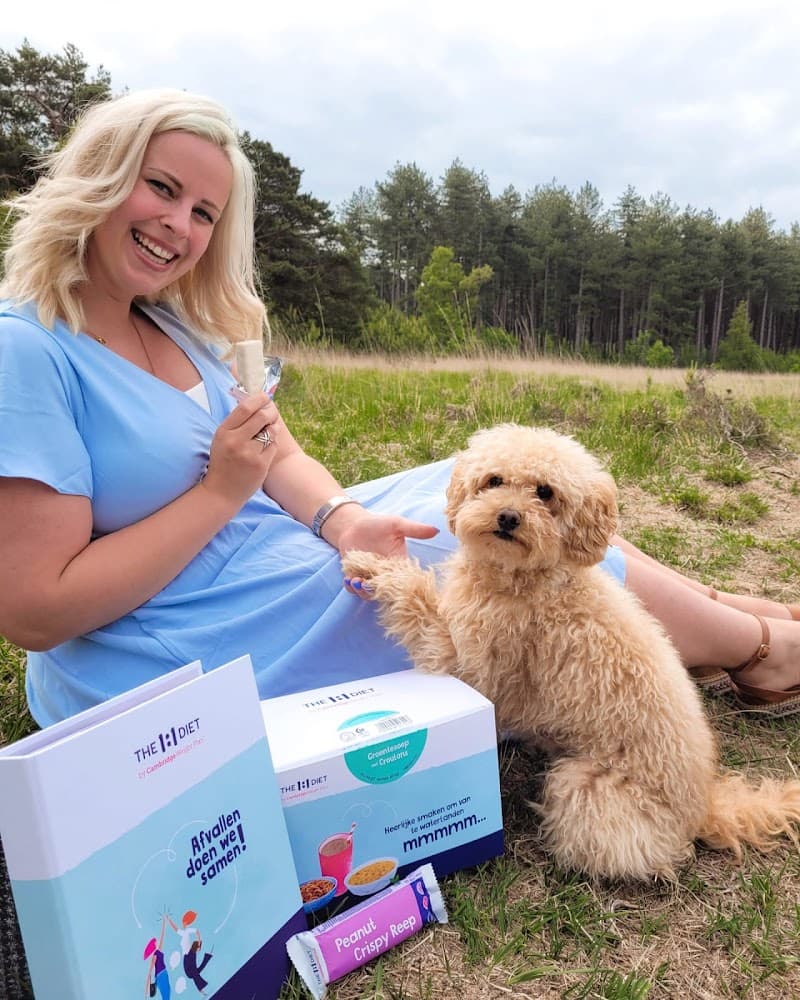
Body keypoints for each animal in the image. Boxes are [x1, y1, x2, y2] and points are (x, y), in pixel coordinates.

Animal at [342, 424, 800, 880]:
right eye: (494, 480)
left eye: (545, 492)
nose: (508, 517)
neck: (529, 580)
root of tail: (702, 805)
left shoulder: (470, 666)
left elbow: (416, 599)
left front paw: (372, 566)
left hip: (583, 786)